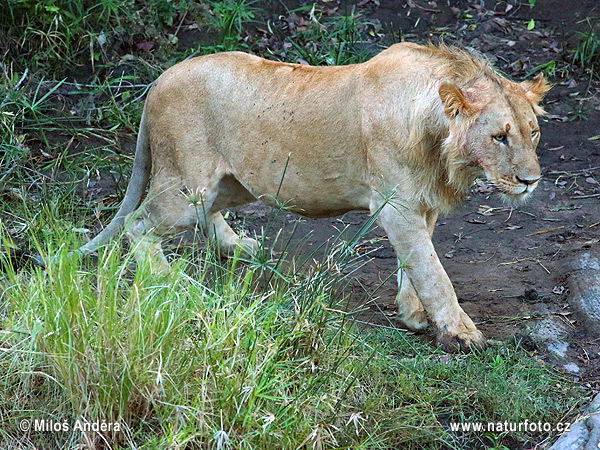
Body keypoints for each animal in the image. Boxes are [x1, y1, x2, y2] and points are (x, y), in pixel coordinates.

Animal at [77, 42, 552, 352]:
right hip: (186, 183)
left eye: (533, 133)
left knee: (201, 215)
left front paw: (413, 313)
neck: (439, 139)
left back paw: (237, 245)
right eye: (499, 137)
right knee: (137, 223)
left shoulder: (422, 203)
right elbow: (433, 272)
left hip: (233, 183)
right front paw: (459, 331)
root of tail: (160, 79)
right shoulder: (395, 205)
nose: (531, 181)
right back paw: (172, 281)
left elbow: (415, 264)